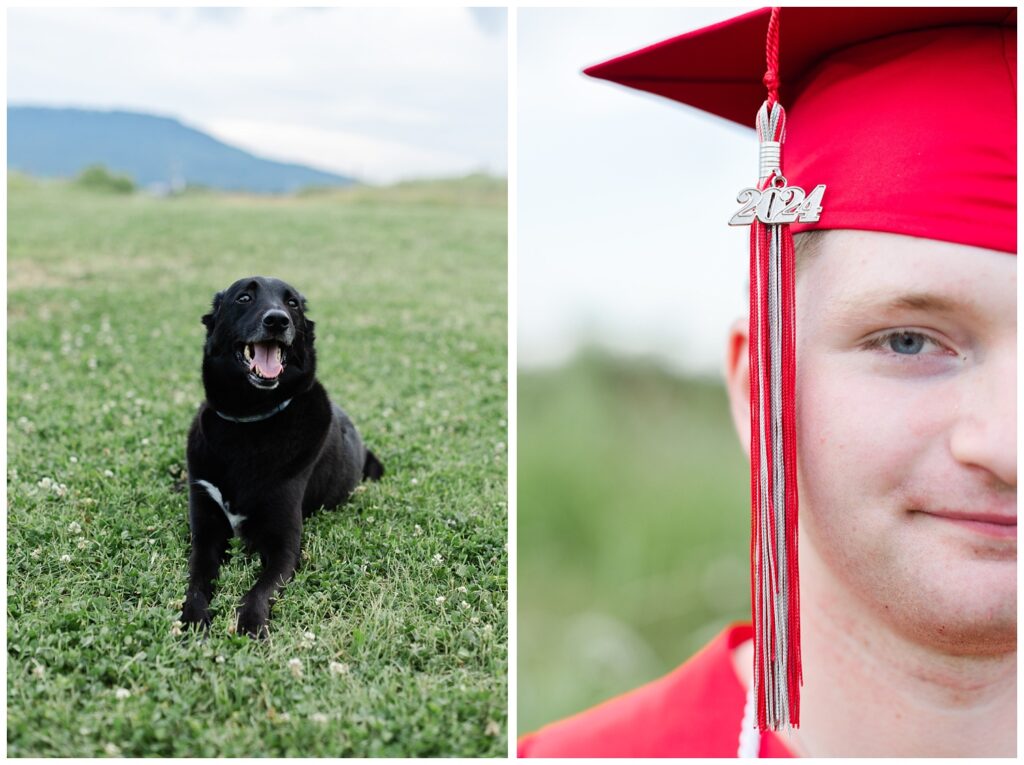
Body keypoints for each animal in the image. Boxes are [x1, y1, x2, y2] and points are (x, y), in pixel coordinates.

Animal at [179, 278, 380, 639]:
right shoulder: (205, 532)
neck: (250, 419)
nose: (277, 320)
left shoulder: (285, 545)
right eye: (244, 297)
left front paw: (251, 623)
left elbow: (259, 590)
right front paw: (193, 616)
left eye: (293, 304)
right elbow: (198, 578)